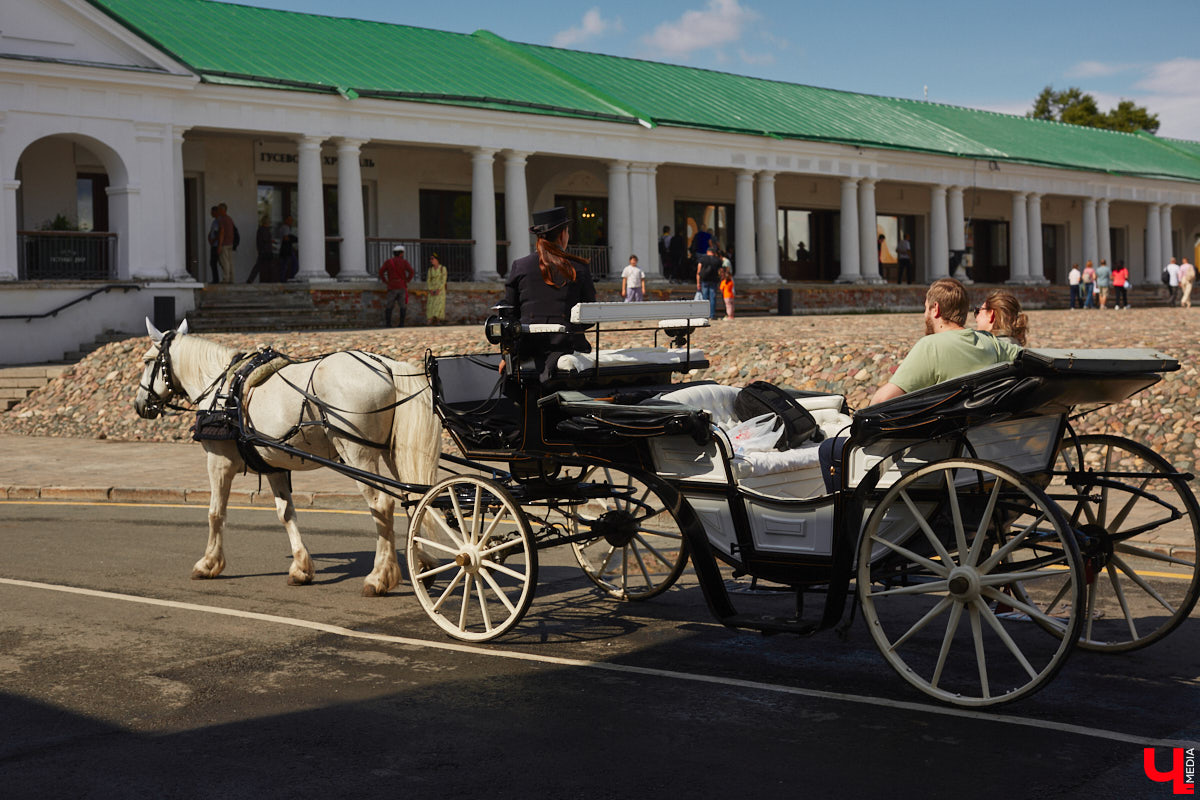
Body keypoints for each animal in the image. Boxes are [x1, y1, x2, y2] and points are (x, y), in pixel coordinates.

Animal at [132, 321, 441, 597]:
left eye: (147, 361)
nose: (139, 404)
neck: (223, 389)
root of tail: (385, 365)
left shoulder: (219, 462)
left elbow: (215, 513)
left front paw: (208, 563)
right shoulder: (273, 465)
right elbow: (286, 513)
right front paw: (301, 567)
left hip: (357, 453)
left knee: (382, 506)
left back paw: (379, 577)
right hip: (393, 451)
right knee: (414, 499)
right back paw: (423, 563)